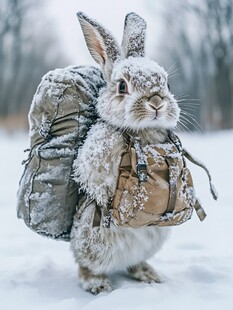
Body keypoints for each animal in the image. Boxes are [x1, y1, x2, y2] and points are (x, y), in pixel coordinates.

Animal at [70, 10, 181, 294]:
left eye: (166, 83)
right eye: (122, 87)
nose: (156, 102)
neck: (141, 133)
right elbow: (95, 180)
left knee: (135, 263)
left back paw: (149, 275)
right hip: (90, 242)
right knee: (86, 265)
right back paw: (98, 285)